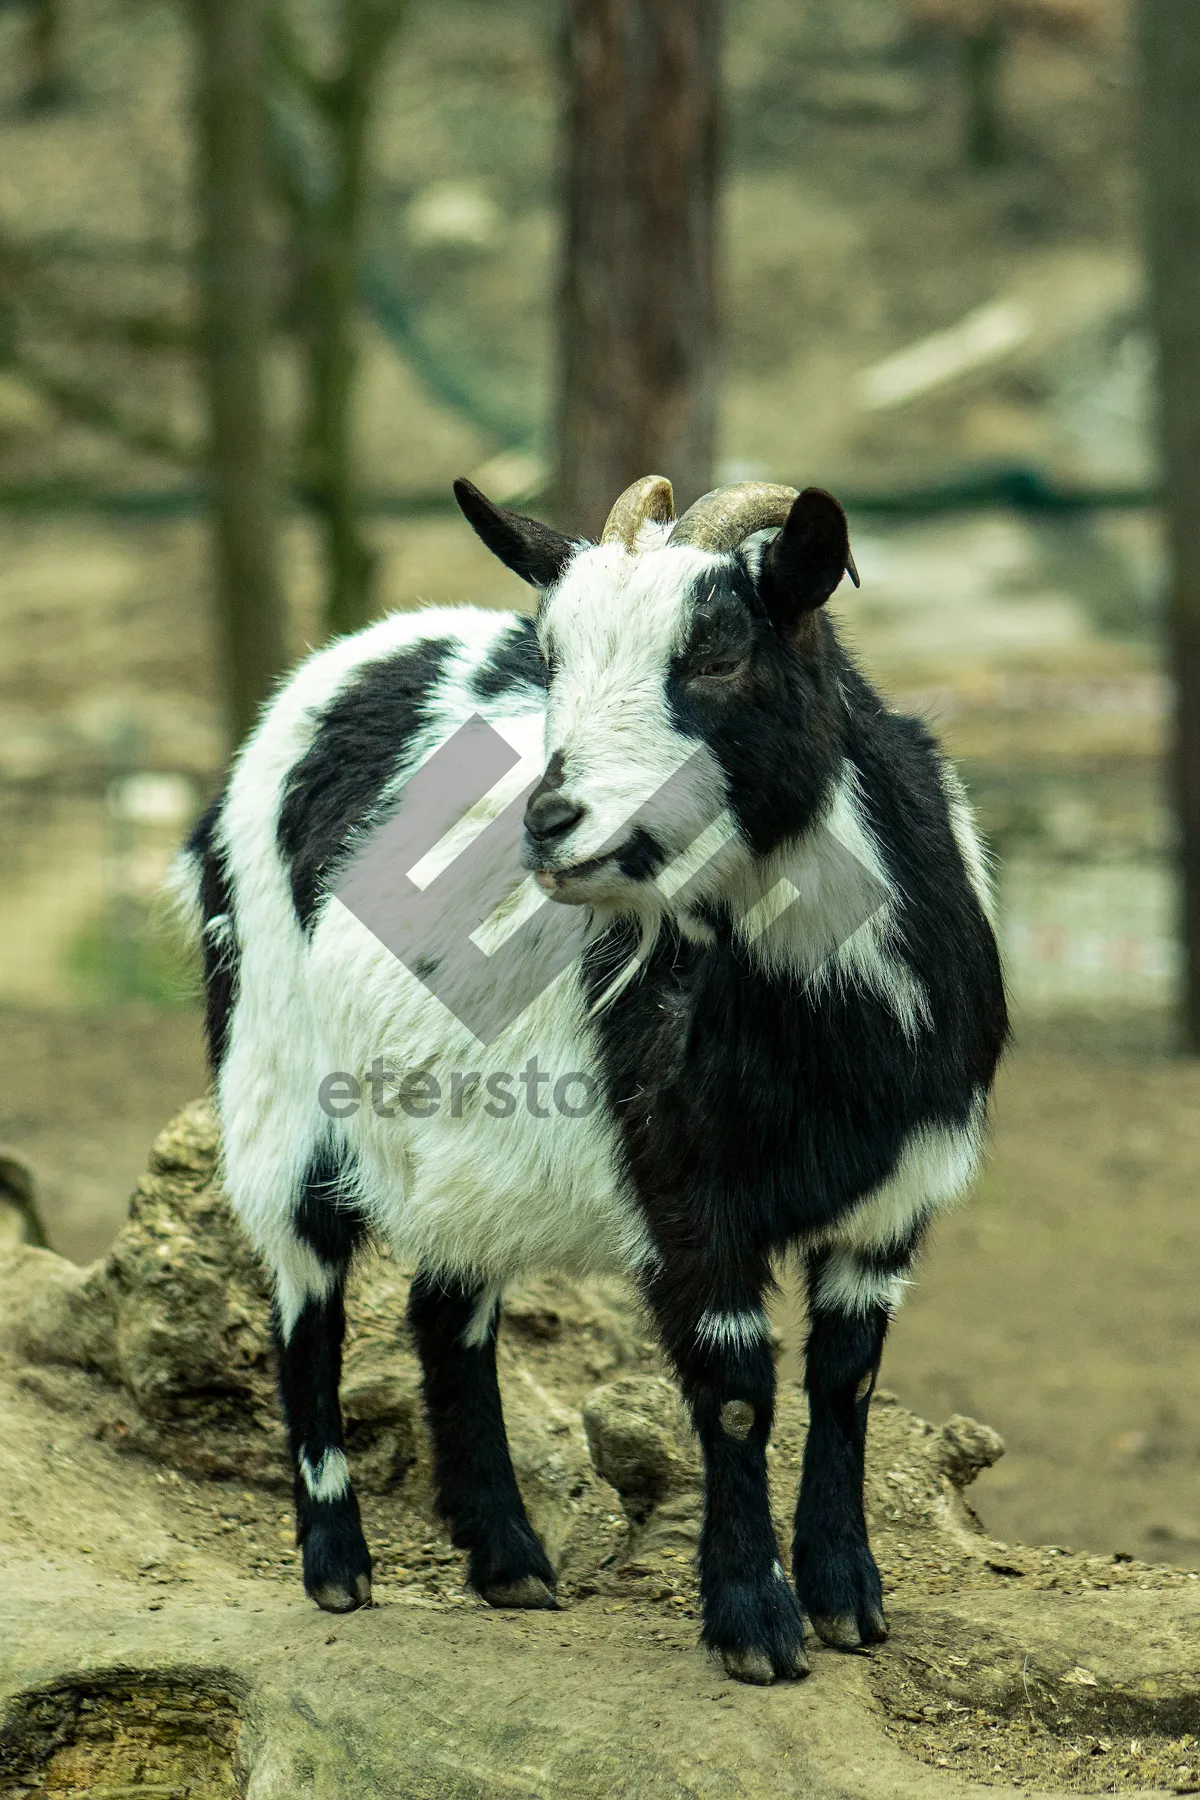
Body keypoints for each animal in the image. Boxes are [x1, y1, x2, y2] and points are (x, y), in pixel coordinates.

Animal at [176, 478, 1007, 1684]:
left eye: (718, 652)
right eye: (554, 655)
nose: (550, 821)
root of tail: (340, 664)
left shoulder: (900, 1190)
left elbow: (846, 1378)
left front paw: (849, 1600)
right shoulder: (682, 1186)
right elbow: (740, 1394)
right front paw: (755, 1624)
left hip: (458, 1144)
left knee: (445, 1310)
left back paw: (509, 1561)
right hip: (272, 1078)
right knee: (306, 1299)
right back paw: (338, 1564)